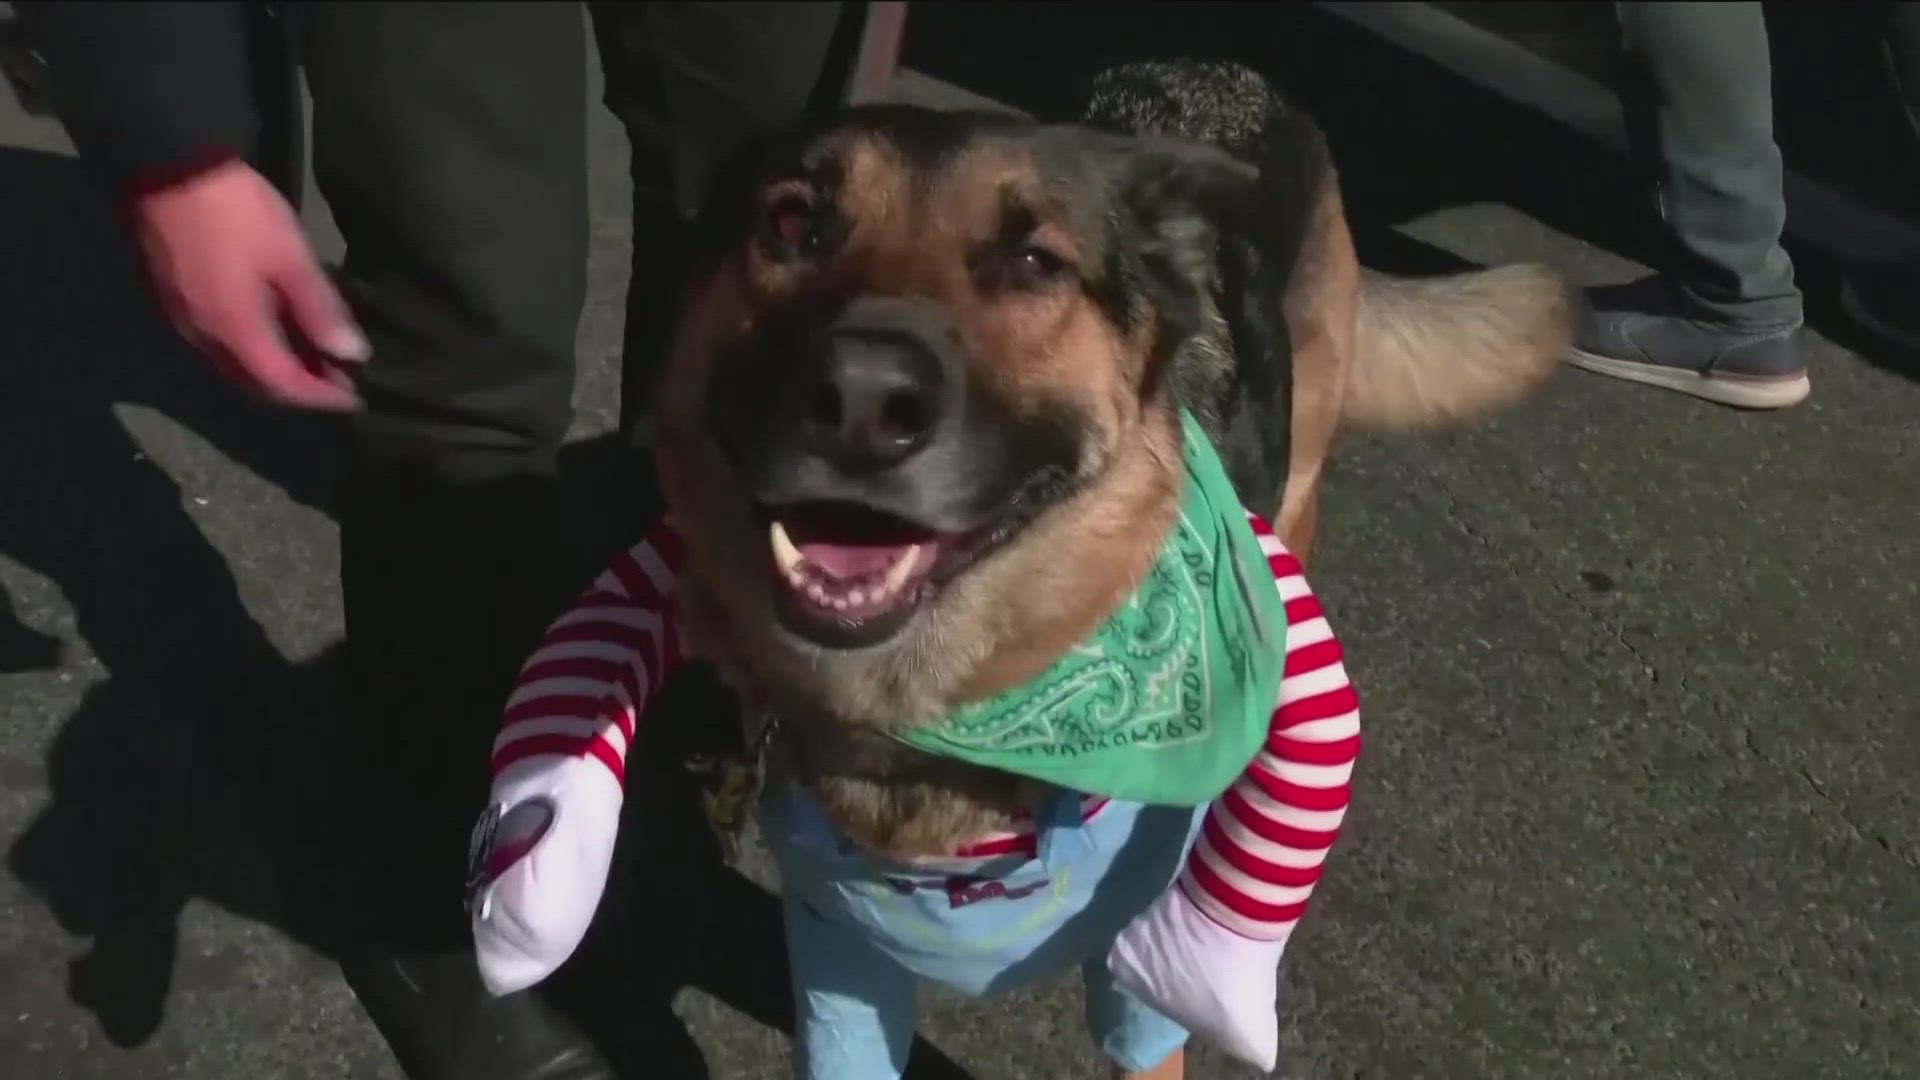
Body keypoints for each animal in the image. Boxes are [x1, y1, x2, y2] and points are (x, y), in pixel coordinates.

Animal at [652, 56, 1566, 1068]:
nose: (860, 399)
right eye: (790, 224)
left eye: (1032, 263)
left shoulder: (1146, 993)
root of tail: (1223, 71)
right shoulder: (837, 960)